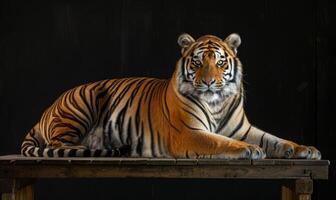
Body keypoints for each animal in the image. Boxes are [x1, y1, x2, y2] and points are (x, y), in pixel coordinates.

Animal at [20, 33, 320, 159]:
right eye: (198, 62)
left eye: (220, 62)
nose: (208, 82)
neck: (217, 103)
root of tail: (44, 112)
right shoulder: (189, 133)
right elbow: (221, 142)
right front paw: (250, 150)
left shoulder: (242, 129)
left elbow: (275, 139)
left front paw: (306, 150)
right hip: (83, 101)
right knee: (58, 144)